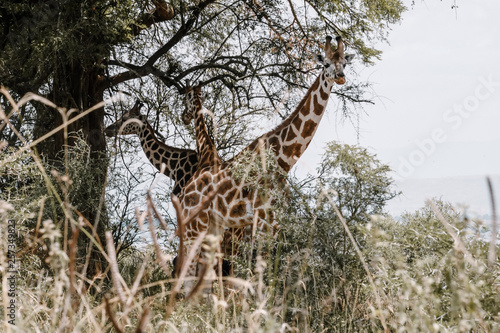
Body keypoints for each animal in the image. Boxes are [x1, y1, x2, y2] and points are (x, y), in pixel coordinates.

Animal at [174, 35, 354, 292]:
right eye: (326, 64)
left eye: (345, 64)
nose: (340, 77)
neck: (284, 159)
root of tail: (186, 189)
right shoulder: (261, 221)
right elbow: (255, 278)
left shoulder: (274, 223)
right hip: (193, 225)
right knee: (186, 273)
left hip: (213, 226)